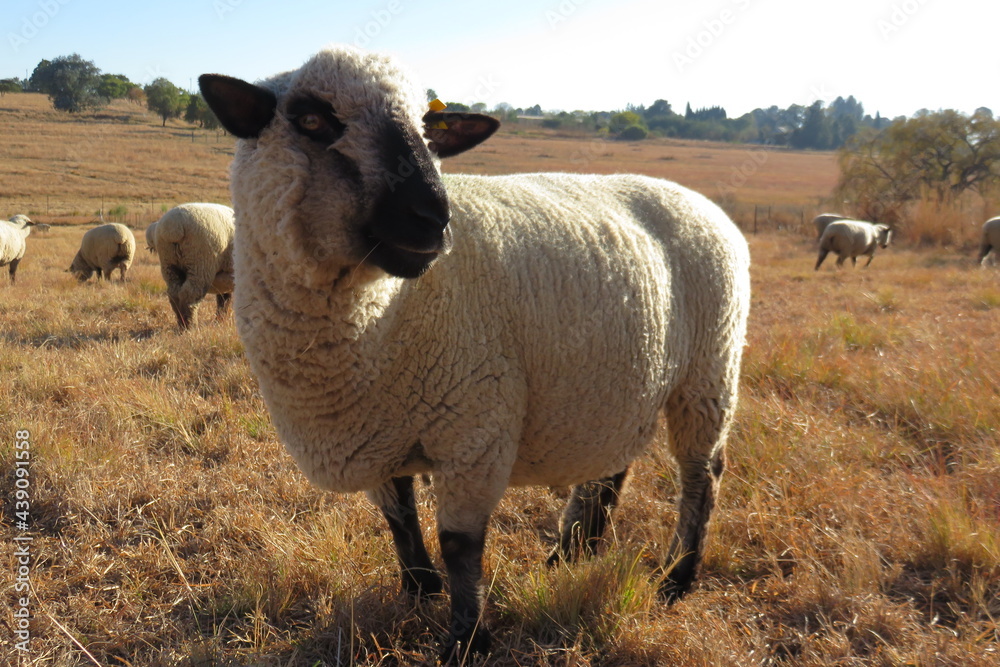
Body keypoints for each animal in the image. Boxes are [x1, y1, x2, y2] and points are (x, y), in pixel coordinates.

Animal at [153, 202, 235, 330]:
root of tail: (174, 226)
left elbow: (224, 300)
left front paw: (220, 321)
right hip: (201, 264)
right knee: (190, 294)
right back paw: (191, 326)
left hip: (168, 264)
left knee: (174, 294)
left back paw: (182, 323)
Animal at [201, 45, 752, 664]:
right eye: (313, 120)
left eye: (428, 130)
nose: (433, 218)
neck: (384, 312)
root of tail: (697, 199)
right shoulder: (378, 429)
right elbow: (399, 518)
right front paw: (418, 591)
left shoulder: (474, 428)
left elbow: (460, 544)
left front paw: (466, 638)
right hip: (620, 380)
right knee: (612, 466)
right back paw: (571, 554)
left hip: (708, 371)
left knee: (702, 474)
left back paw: (677, 578)